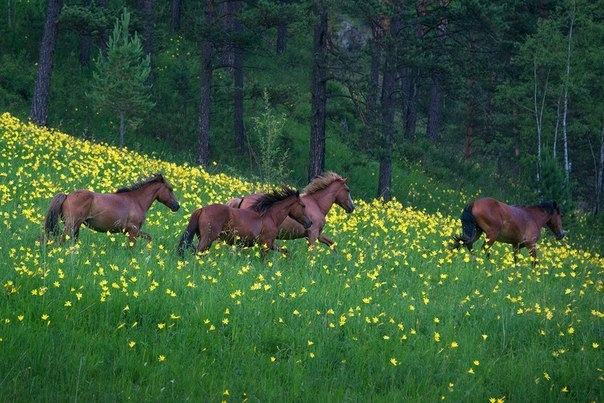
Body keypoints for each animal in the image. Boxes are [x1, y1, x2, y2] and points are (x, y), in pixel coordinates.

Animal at [44, 174, 179, 246]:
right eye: (170, 189)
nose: (177, 206)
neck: (137, 201)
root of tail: (67, 196)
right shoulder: (133, 231)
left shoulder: (133, 231)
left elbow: (149, 237)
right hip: (71, 225)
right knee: (61, 240)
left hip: (75, 226)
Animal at [178, 185, 312, 258]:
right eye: (303, 205)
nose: (310, 222)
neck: (270, 216)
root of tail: (202, 209)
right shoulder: (266, 244)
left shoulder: (270, 243)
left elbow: (286, 251)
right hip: (207, 239)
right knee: (197, 253)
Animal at [225, 173, 354, 251]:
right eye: (347, 190)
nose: (352, 207)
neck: (317, 204)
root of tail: (242, 199)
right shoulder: (312, 234)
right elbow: (313, 252)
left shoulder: (318, 234)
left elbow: (332, 244)